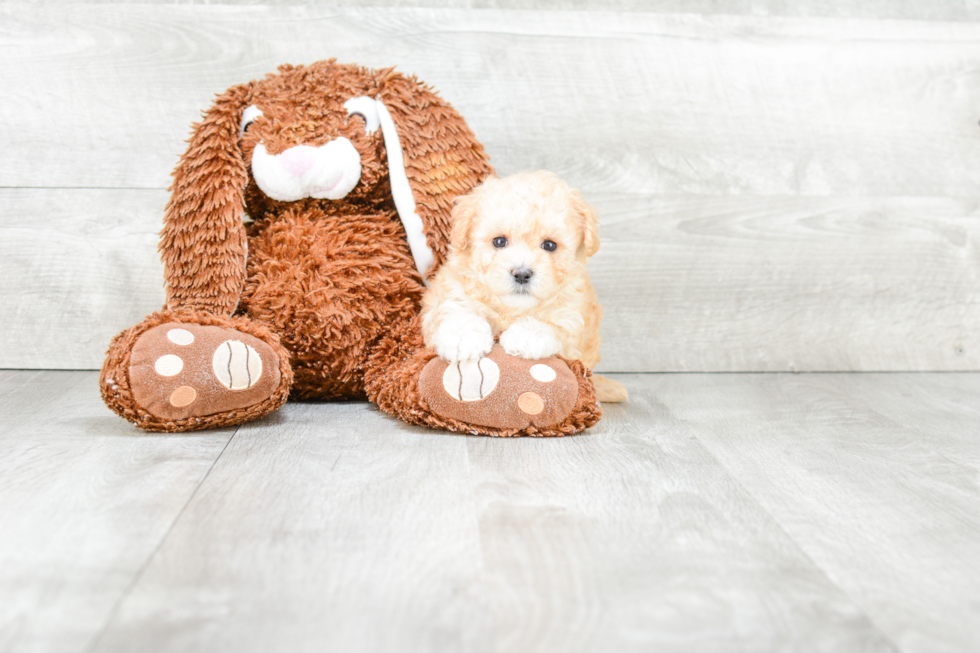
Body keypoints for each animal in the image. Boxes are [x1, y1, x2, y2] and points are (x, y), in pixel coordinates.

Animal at [422, 171, 628, 400]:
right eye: (499, 241)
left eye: (549, 245)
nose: (521, 274)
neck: (512, 308)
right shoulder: (452, 290)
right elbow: (457, 309)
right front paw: (462, 336)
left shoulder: (573, 319)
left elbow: (556, 327)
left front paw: (526, 336)